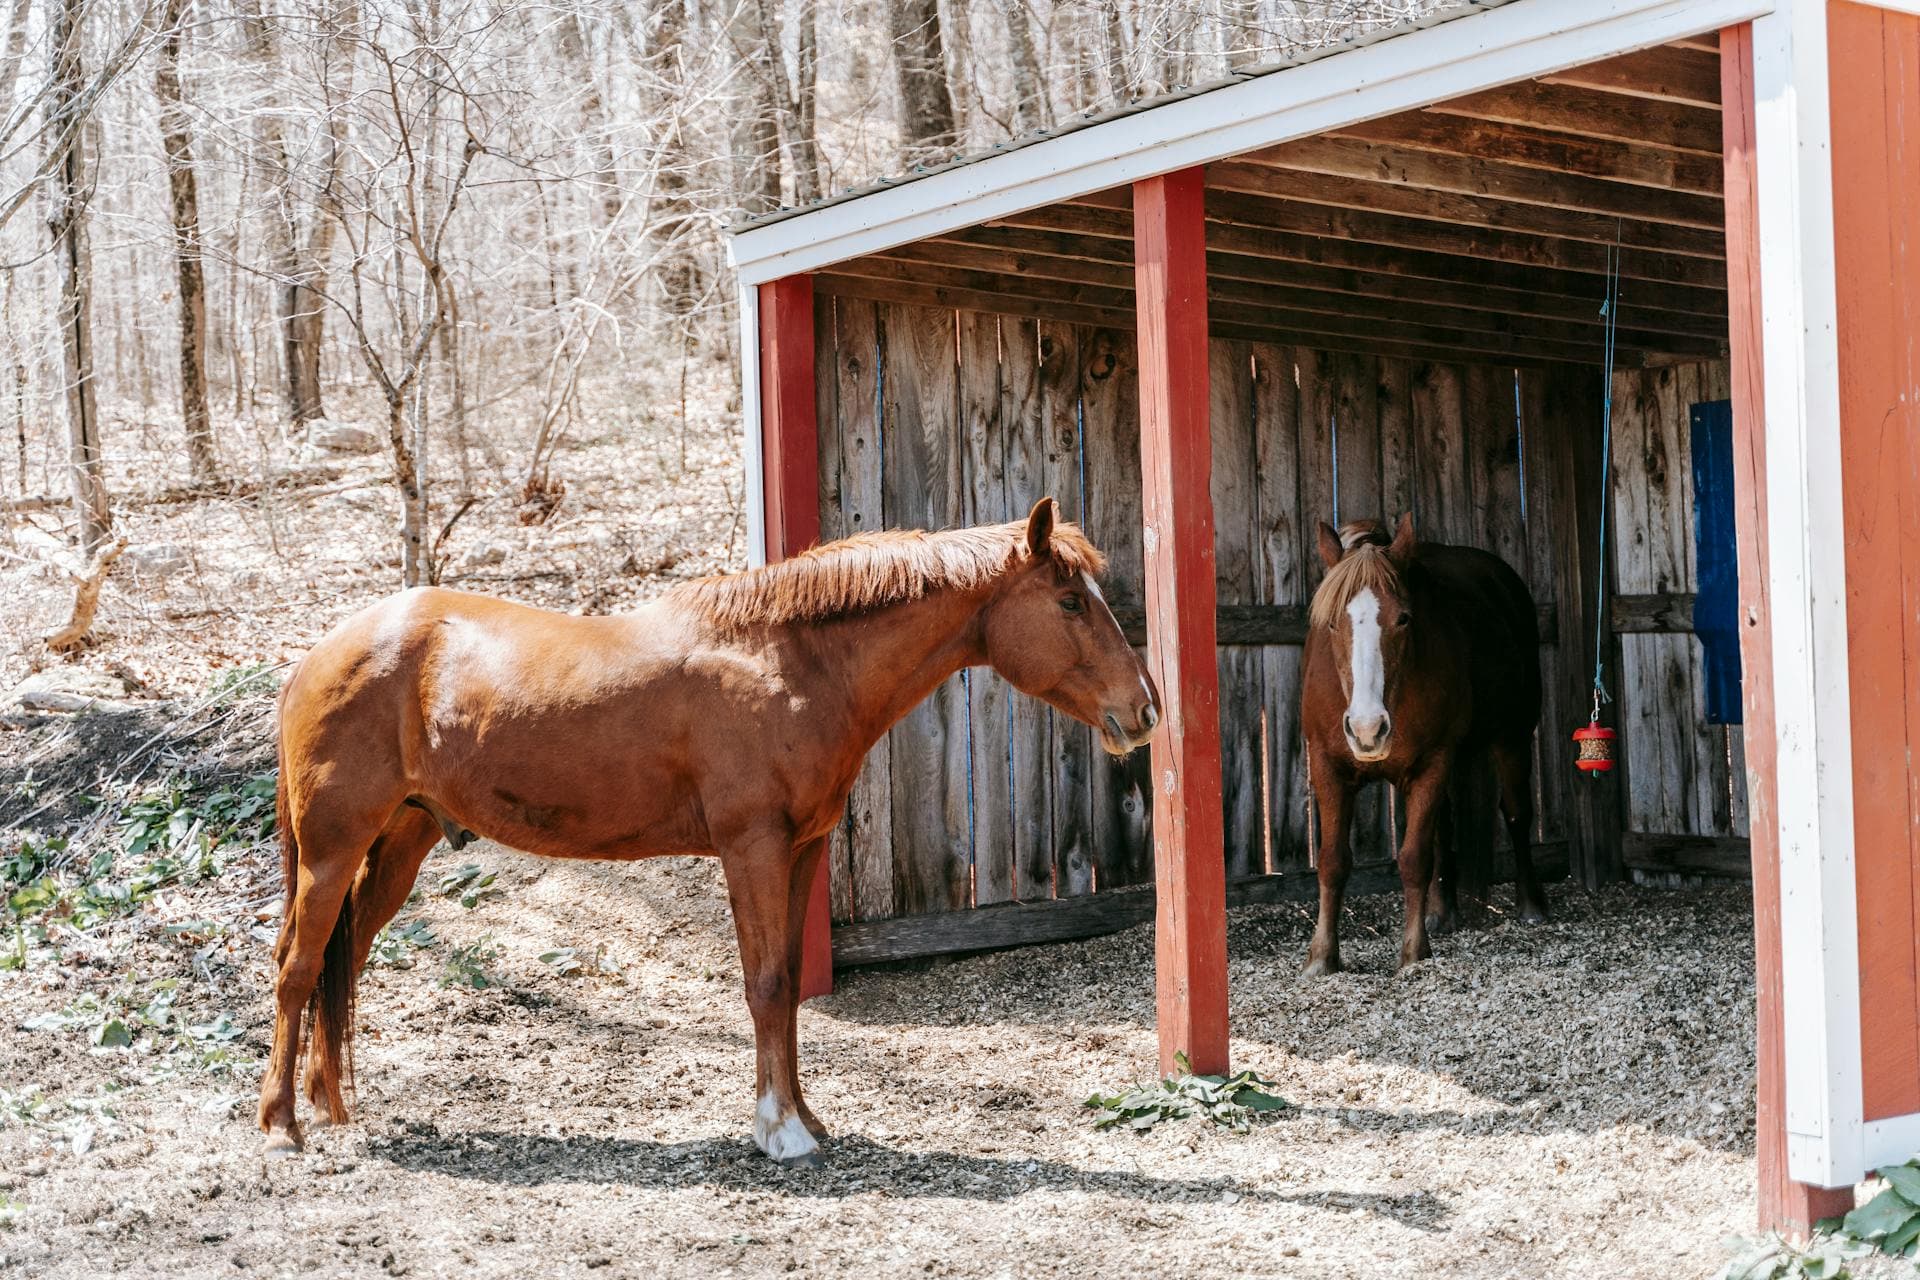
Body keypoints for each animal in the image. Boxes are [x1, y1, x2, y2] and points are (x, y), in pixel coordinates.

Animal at [258, 498, 1160, 1166]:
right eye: (1070, 602)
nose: (1144, 710)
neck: (784, 661)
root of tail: (317, 656)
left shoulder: (799, 851)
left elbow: (788, 985)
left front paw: (805, 1118)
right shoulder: (750, 847)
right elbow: (764, 984)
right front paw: (779, 1131)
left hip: (397, 846)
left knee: (344, 958)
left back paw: (330, 1105)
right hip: (334, 848)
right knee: (299, 967)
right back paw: (280, 1127)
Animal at [1299, 513, 1544, 977]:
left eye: (1403, 619)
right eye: (1333, 623)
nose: (1367, 728)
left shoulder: (1433, 761)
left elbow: (1414, 859)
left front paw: (1414, 953)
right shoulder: (1325, 765)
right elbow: (1332, 861)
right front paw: (1322, 956)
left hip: (1513, 737)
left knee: (1517, 813)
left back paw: (1532, 906)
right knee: (1443, 826)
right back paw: (1441, 912)